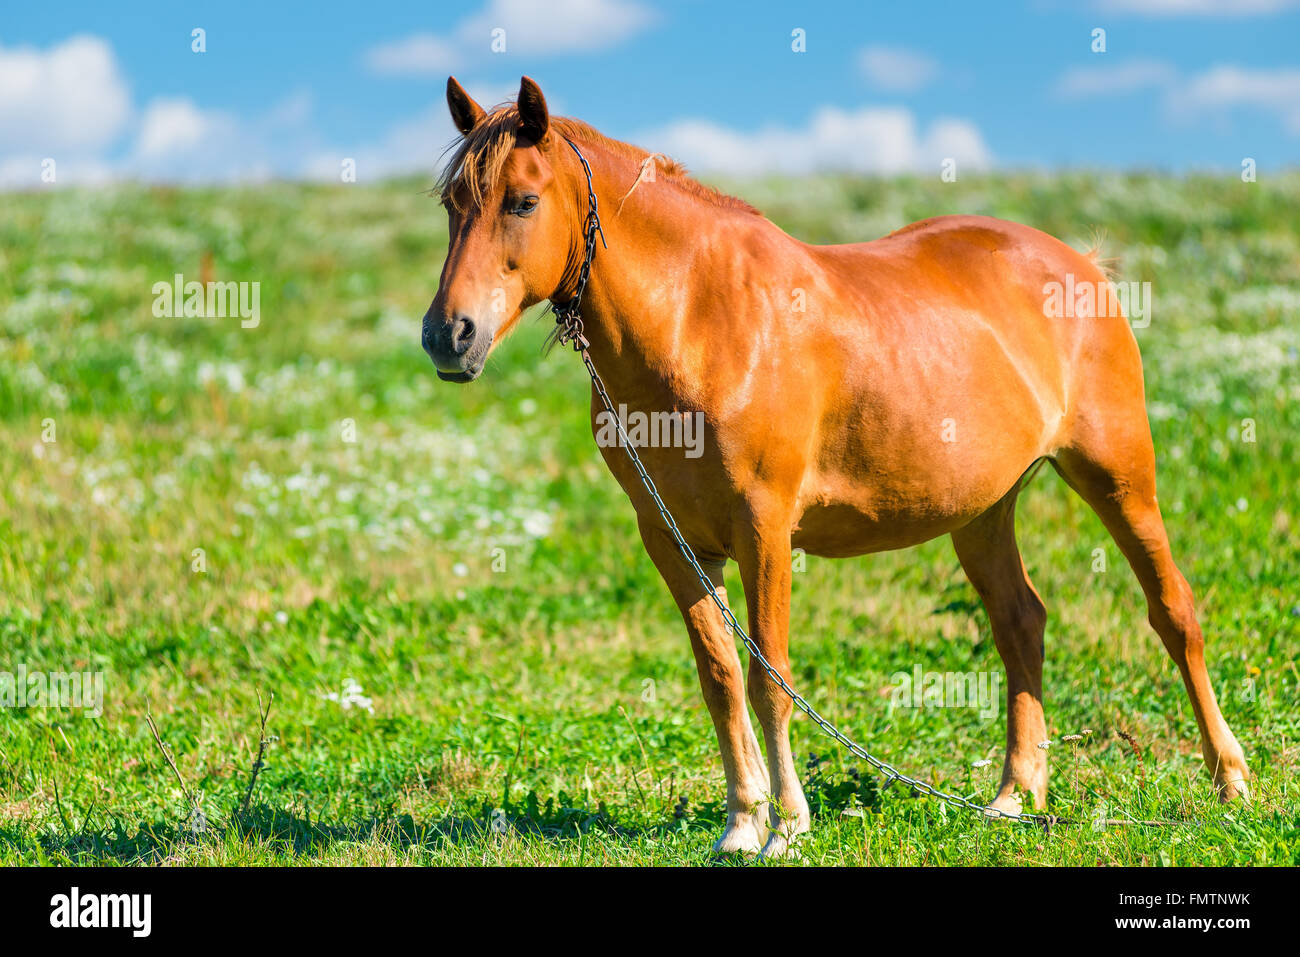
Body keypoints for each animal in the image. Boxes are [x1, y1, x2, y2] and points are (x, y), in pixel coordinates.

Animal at [423, 72, 1248, 852]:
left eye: (523, 202)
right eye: (452, 203)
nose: (447, 335)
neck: (702, 318)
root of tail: (1083, 262)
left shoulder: (764, 528)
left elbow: (770, 677)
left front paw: (788, 824)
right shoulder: (672, 540)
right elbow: (720, 676)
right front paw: (741, 821)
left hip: (1118, 476)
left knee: (1172, 610)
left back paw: (1230, 780)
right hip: (984, 510)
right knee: (1020, 622)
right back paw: (1016, 795)